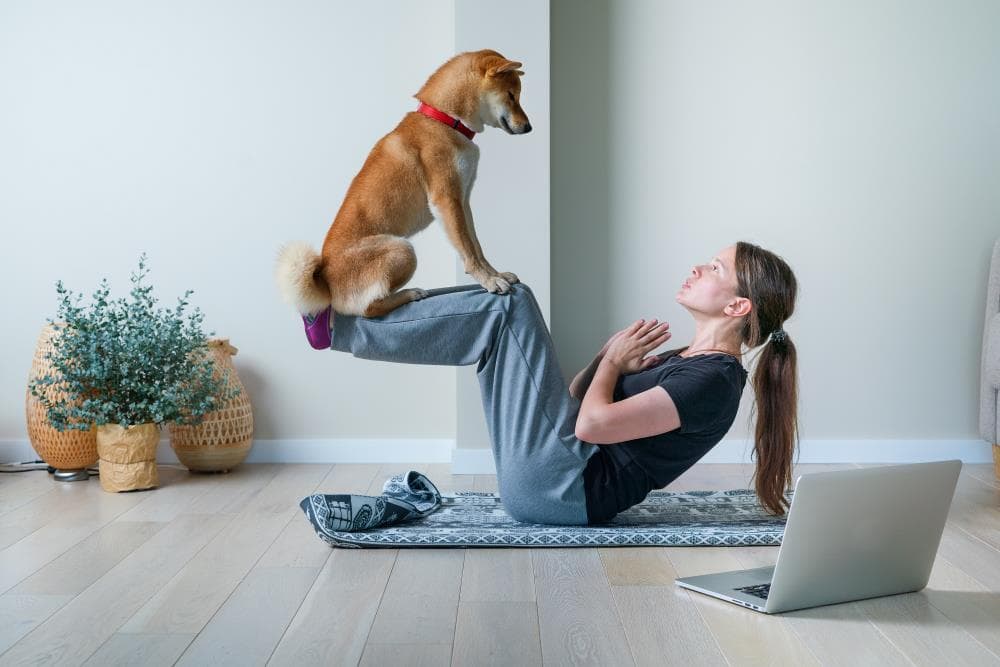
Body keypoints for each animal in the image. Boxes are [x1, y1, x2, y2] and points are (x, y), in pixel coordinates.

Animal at [274, 48, 532, 322]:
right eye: (512, 96)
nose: (529, 127)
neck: (445, 120)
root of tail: (325, 282)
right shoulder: (446, 200)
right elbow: (468, 252)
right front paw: (488, 282)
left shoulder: (462, 201)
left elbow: (476, 246)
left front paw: (496, 274)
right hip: (402, 249)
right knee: (368, 309)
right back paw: (409, 294)